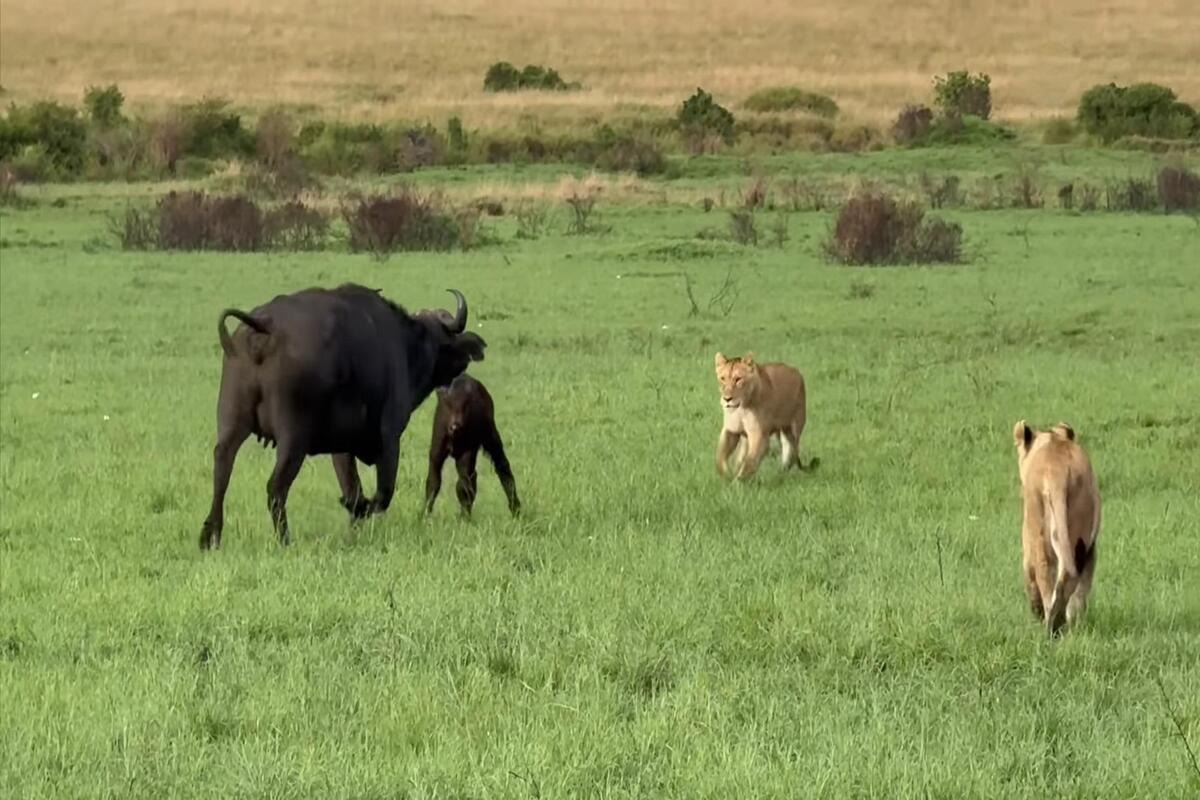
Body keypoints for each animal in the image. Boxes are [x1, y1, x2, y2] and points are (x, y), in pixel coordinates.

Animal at [200, 283, 486, 549]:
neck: (407, 346)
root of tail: (264, 327)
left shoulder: (341, 448)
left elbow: (353, 487)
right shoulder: (390, 437)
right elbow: (382, 494)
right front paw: (358, 509)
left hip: (231, 424)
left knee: (221, 470)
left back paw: (210, 536)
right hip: (293, 440)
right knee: (275, 488)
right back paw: (284, 539)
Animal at [424, 374, 520, 518]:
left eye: (466, 405)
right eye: (446, 403)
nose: (454, 426)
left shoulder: (467, 453)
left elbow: (463, 487)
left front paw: (464, 518)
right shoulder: (436, 454)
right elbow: (433, 482)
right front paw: (424, 515)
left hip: (490, 436)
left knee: (502, 466)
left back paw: (516, 509)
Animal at [1012, 420, 1101, 635]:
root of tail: (1057, 470)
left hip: (1040, 534)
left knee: (1046, 574)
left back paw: (1050, 625)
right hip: (1081, 540)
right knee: (1073, 580)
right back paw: (1065, 624)